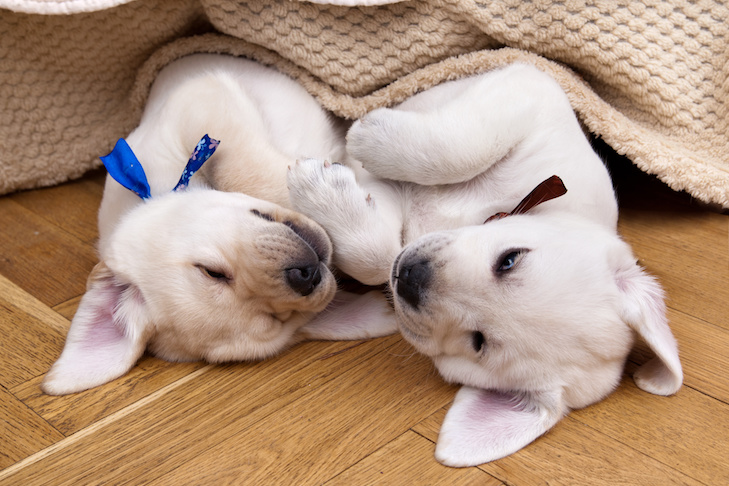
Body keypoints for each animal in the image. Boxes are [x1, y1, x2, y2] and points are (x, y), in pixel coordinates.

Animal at [42, 53, 396, 396]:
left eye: (211, 271)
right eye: (277, 319)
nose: (305, 275)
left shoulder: (199, 101)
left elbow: (245, 174)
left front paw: (326, 187)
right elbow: (378, 263)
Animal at [288, 62, 684, 466]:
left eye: (478, 342)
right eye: (510, 260)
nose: (412, 277)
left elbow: (376, 256)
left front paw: (324, 190)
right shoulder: (533, 89)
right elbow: (456, 152)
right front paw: (366, 135)